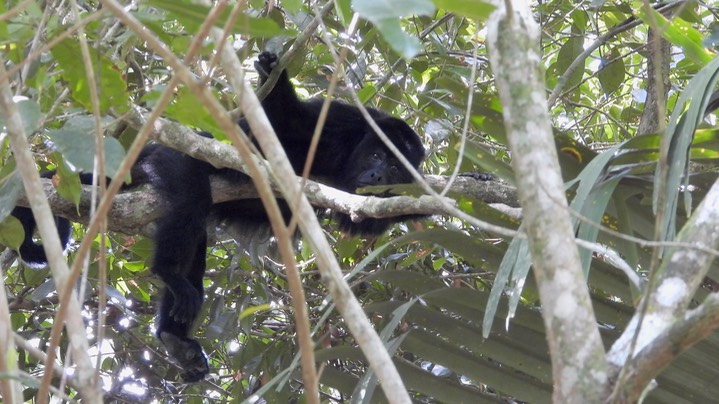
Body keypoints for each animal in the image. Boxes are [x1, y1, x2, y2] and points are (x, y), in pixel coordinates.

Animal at [12, 51, 428, 382]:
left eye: (395, 168)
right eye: (377, 155)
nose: (377, 176)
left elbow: (371, 221)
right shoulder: (347, 119)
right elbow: (290, 123)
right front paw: (273, 76)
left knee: (196, 236)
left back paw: (175, 336)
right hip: (174, 157)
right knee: (192, 203)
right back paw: (169, 273)